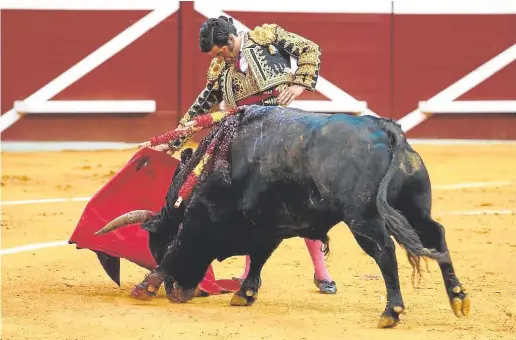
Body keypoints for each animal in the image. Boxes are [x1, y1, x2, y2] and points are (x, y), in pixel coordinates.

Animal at [94, 105, 470, 326]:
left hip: (362, 217)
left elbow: (182, 249)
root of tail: (384, 130)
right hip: (414, 207)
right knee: (436, 236)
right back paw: (458, 298)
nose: (178, 293)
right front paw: (244, 293)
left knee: (384, 251)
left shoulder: (203, 221)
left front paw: (146, 285)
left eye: (158, 244)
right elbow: (260, 256)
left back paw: (391, 312)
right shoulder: (269, 224)